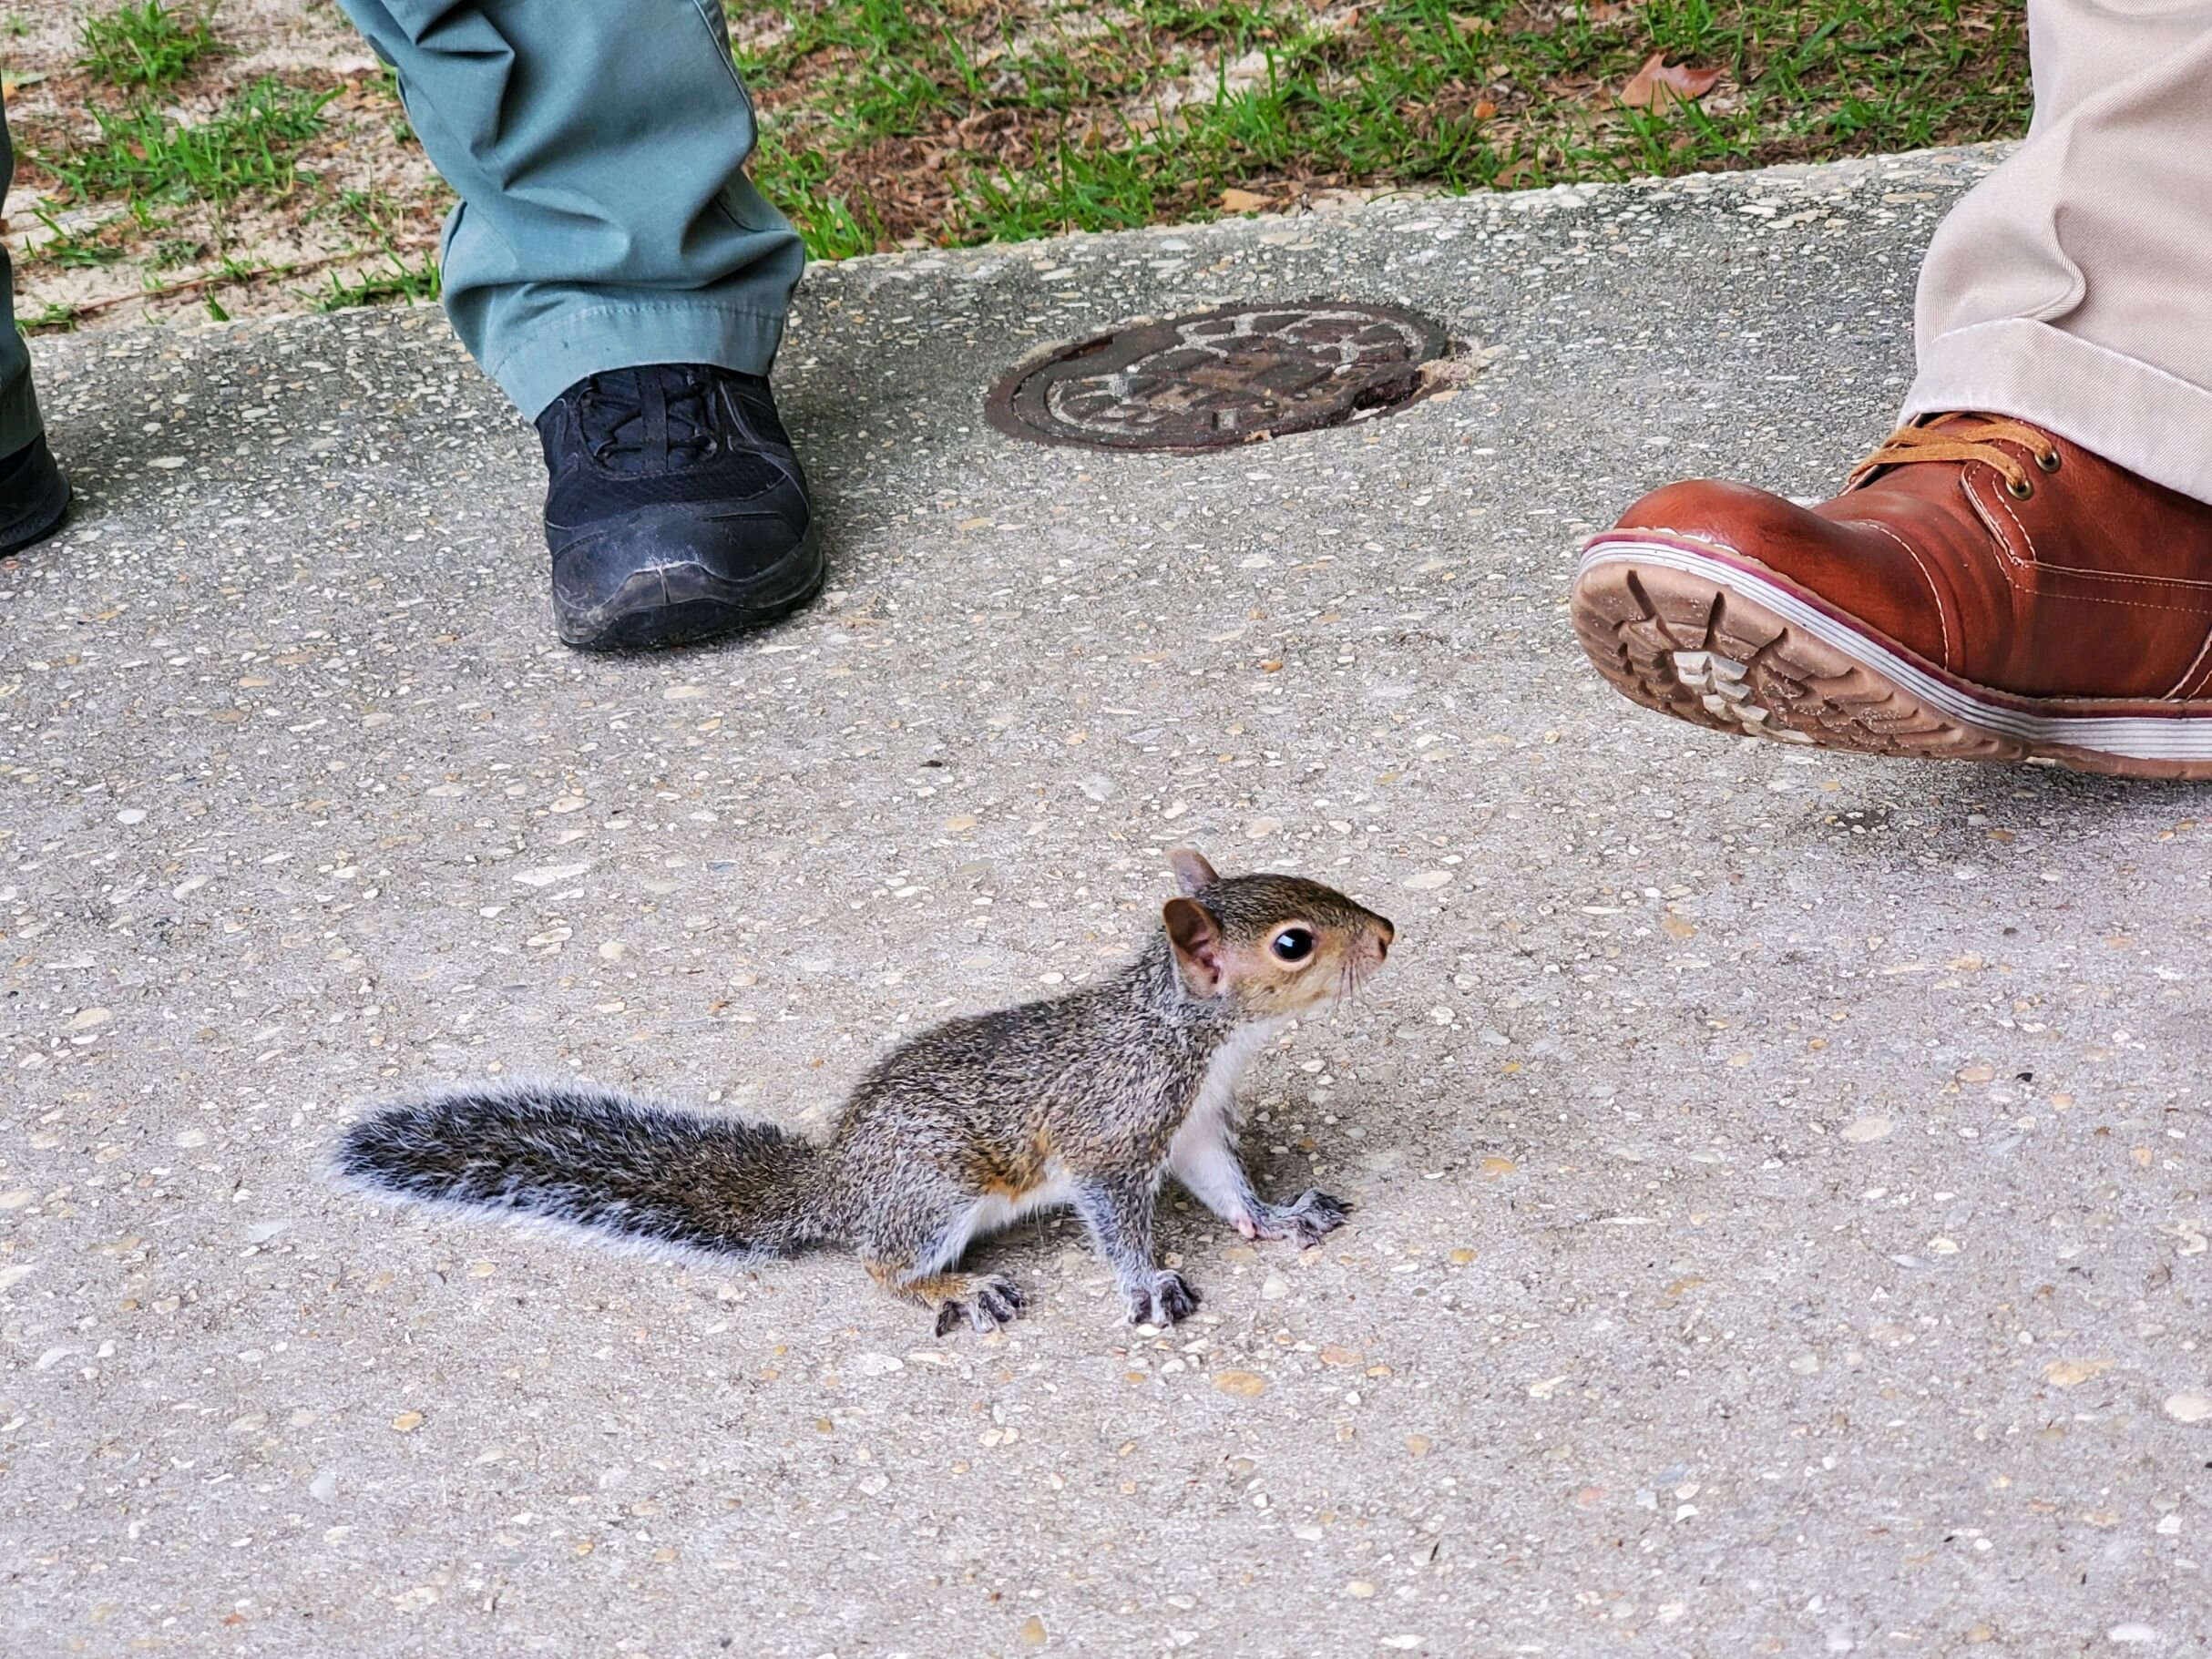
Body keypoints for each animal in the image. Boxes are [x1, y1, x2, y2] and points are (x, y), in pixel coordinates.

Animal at [329, 849, 1388, 1345]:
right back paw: (962, 1287)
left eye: (1303, 879)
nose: (1385, 933)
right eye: (1293, 943)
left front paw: (1276, 1218)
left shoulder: (1192, 1127)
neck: (1190, 1035)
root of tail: (833, 1186)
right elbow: (1117, 1220)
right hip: (937, 1190)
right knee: (881, 1266)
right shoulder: (1111, 1134)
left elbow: (1225, 1189)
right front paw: (1150, 1280)